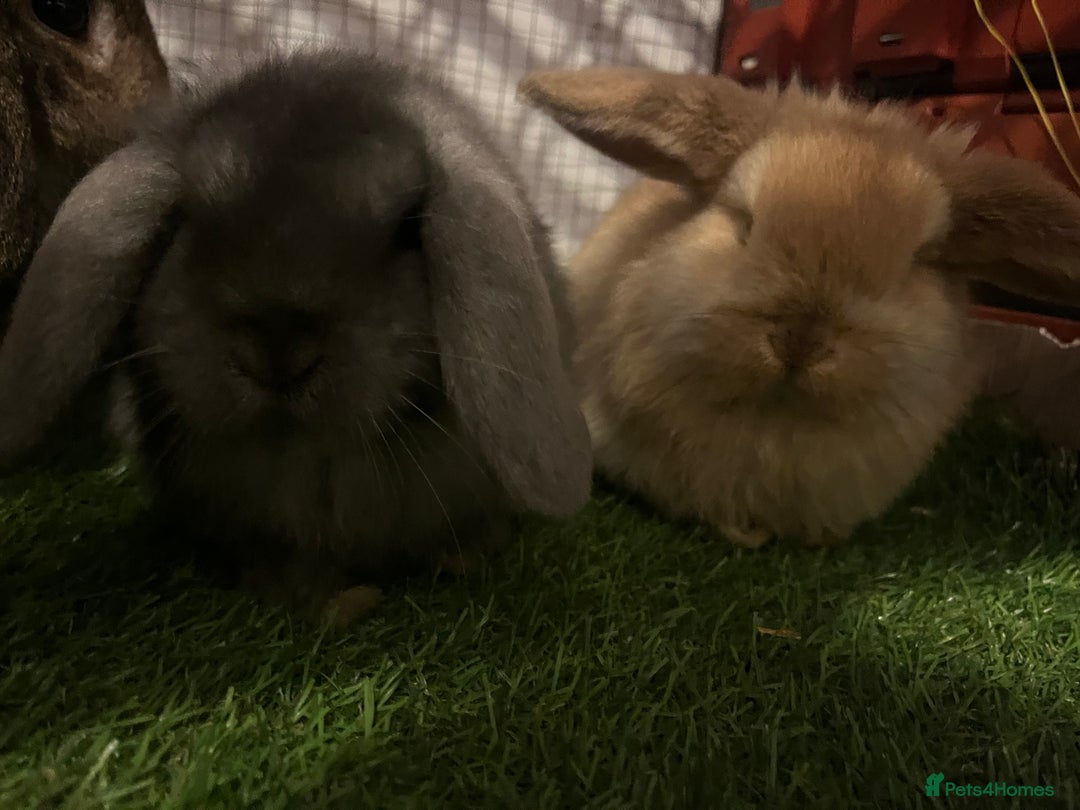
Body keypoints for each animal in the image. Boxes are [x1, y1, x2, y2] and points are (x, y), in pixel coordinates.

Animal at [0, 49, 593, 624]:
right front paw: (320, 600)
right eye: (185, 220)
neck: (311, 467)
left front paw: (462, 562)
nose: (277, 350)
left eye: (407, 228)